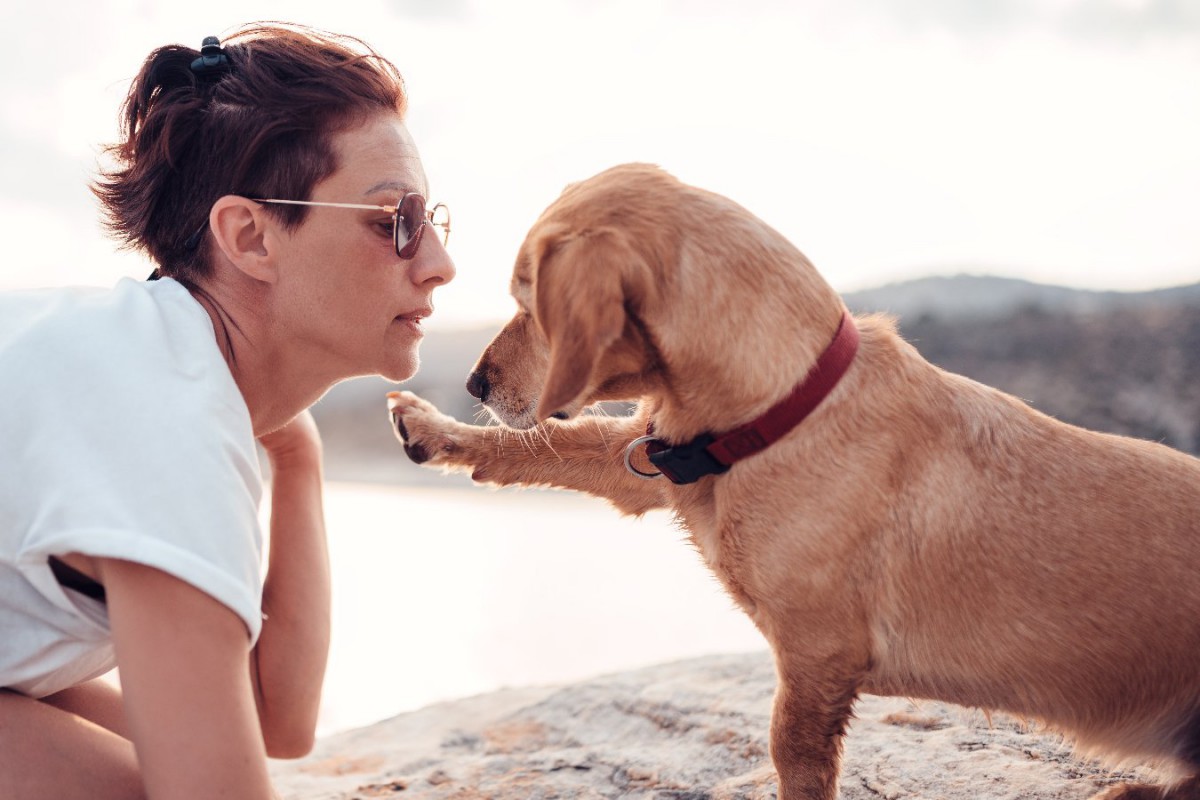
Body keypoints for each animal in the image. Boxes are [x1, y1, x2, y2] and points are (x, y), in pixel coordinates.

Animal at [391, 163, 1200, 800]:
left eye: (530, 300)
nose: (473, 381)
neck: (785, 407)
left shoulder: (817, 655)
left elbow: (791, 755)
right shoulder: (651, 464)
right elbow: (553, 443)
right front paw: (437, 430)